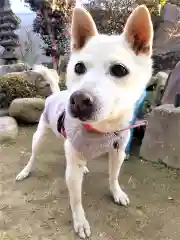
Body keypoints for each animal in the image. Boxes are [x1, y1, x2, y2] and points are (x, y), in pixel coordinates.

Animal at [15, 5, 153, 238]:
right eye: (78, 67)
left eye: (119, 70)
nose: (78, 100)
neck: (103, 130)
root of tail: (56, 94)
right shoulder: (73, 171)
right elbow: (76, 199)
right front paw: (80, 221)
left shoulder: (117, 153)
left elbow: (114, 176)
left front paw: (117, 192)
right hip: (39, 137)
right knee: (33, 156)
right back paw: (26, 171)